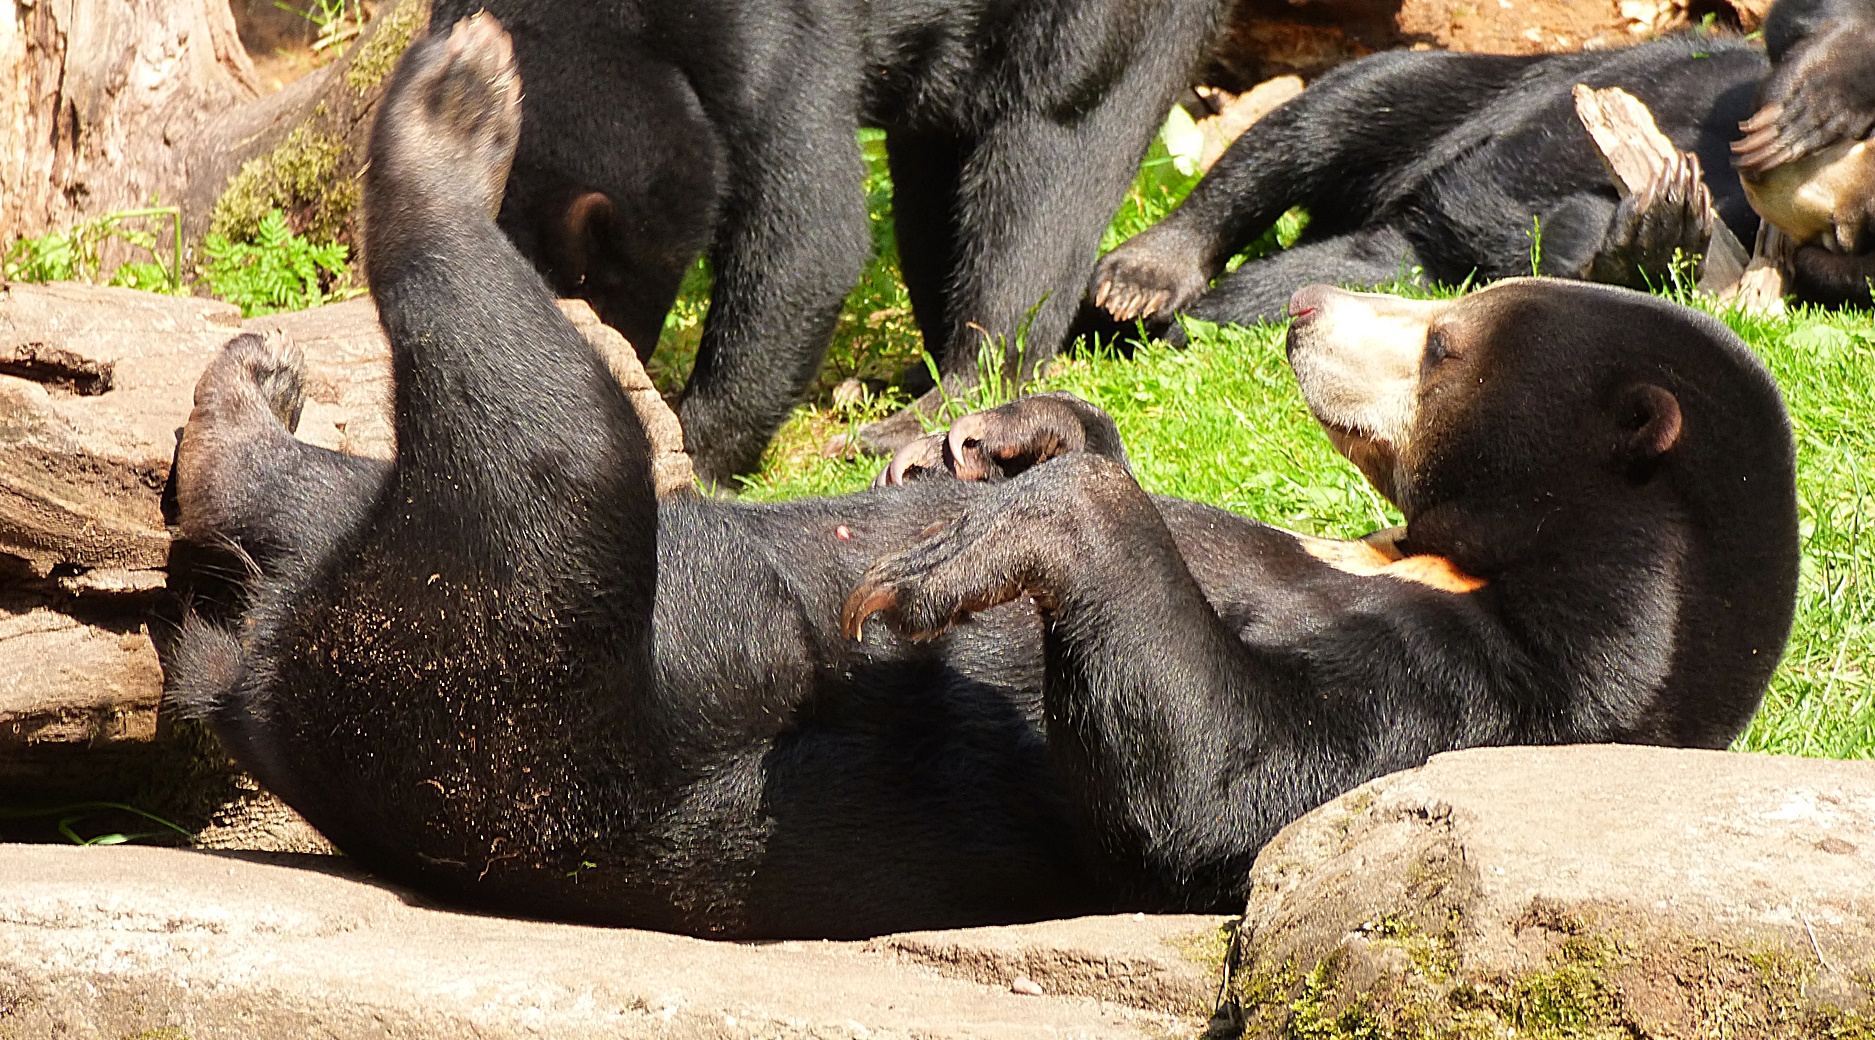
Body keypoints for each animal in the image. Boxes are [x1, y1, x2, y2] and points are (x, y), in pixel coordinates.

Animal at [168, 16, 1792, 944]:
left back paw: (446, 121)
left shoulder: (1469, 696)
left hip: (513, 702)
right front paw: (1003, 436)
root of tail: (268, 682)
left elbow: (1221, 774)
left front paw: (988, 538)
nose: (1312, 316)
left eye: (1446, 337)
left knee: (547, 457)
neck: (1447, 560)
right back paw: (241, 418)